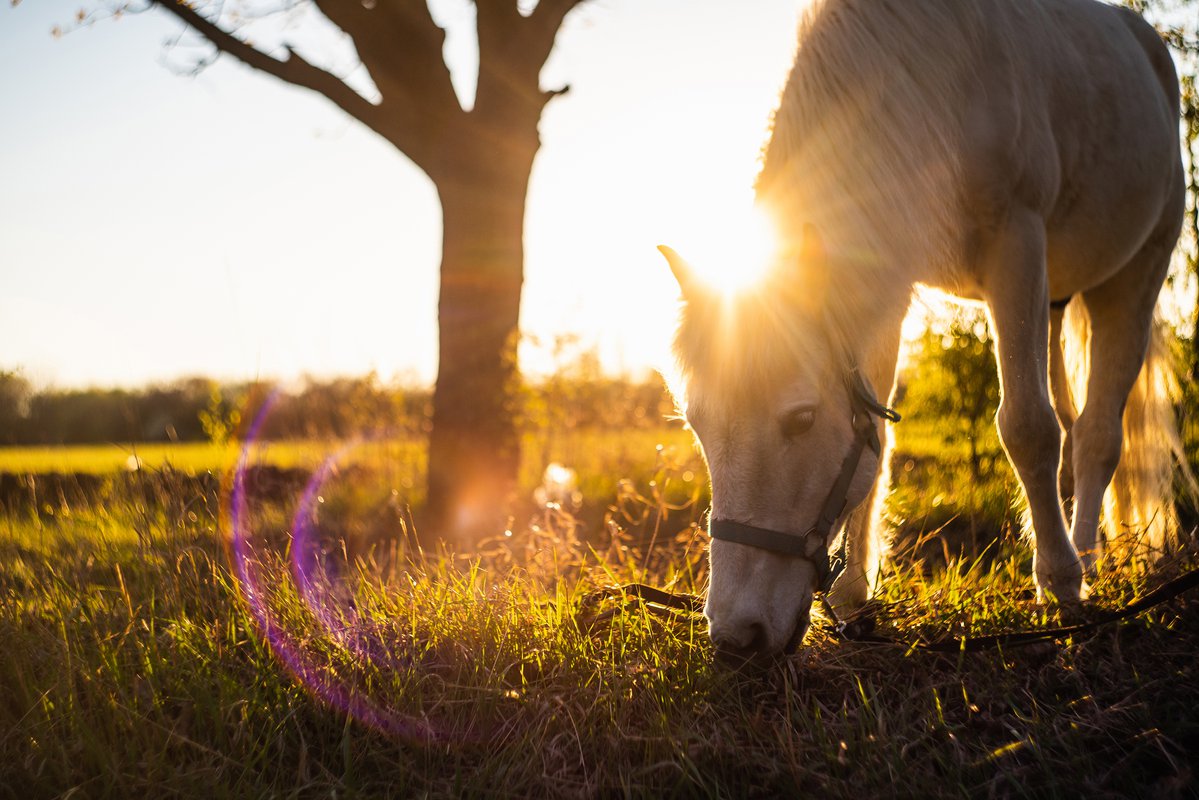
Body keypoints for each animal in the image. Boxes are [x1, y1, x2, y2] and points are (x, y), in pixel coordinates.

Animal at [661, 0, 1184, 662]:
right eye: (698, 425)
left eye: (800, 419)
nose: (735, 637)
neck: (933, 68)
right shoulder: (887, 279)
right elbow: (877, 438)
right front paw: (855, 595)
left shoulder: (1016, 240)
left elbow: (1028, 428)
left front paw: (1060, 584)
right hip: (1058, 298)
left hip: (1135, 274)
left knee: (1095, 435)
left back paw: (1084, 560)